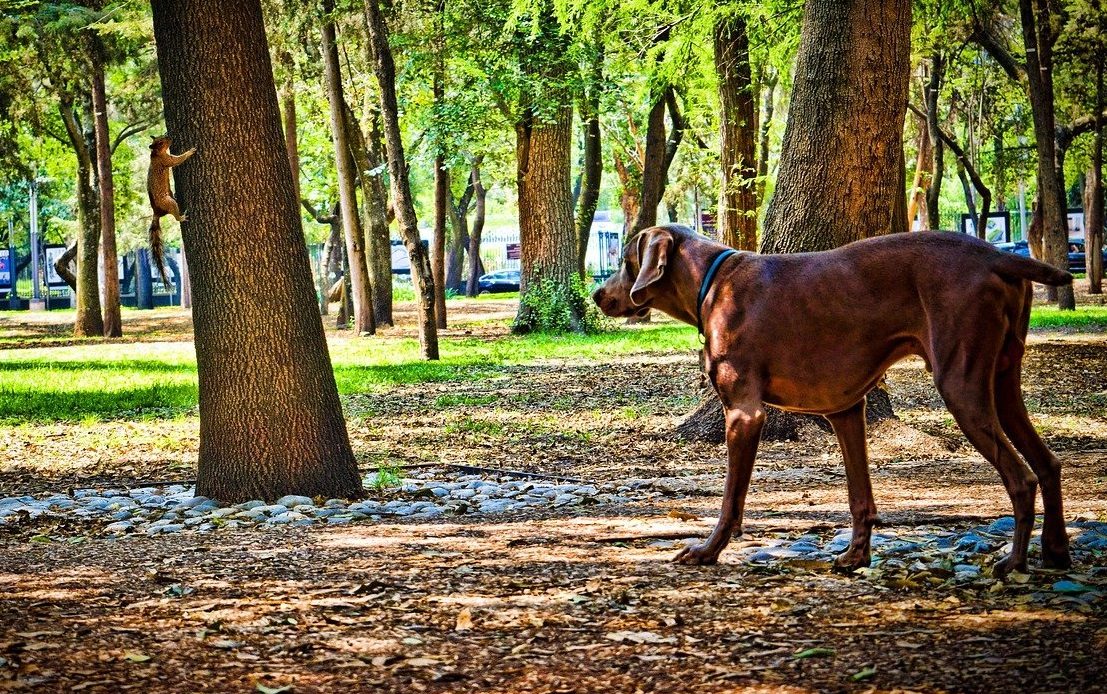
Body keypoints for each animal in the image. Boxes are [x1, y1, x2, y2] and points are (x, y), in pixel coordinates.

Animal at [146, 135, 195, 287]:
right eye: (160, 142)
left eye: (161, 137)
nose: (169, 137)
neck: (155, 154)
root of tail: (157, 212)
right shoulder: (167, 161)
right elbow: (177, 160)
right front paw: (190, 151)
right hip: (169, 202)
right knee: (175, 216)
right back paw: (182, 217)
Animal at [597, 226, 1071, 575]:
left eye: (625, 262)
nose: (597, 294)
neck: (713, 281)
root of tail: (995, 255)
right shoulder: (845, 409)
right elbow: (860, 496)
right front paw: (856, 556)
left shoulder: (745, 414)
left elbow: (731, 499)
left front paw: (708, 551)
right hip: (1003, 382)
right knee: (1048, 464)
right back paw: (1056, 551)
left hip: (961, 383)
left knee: (1022, 479)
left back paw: (1014, 562)